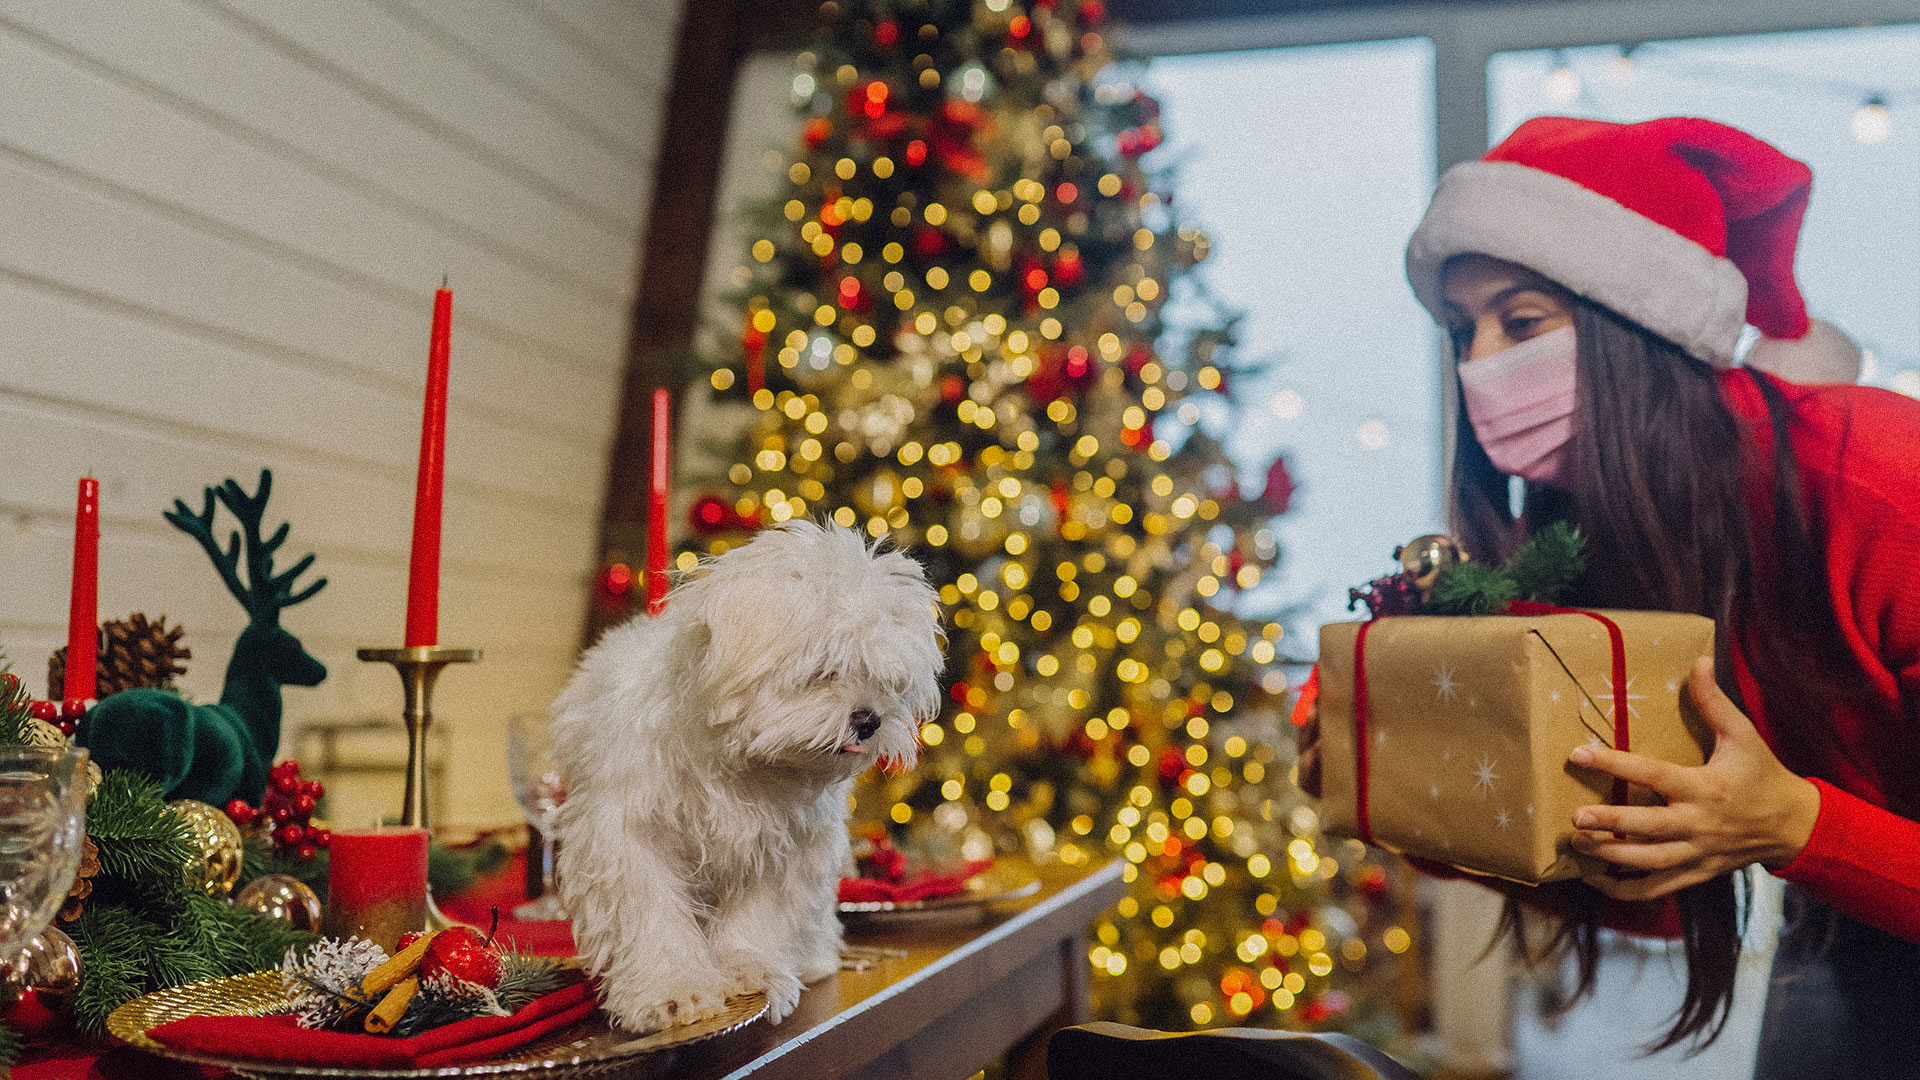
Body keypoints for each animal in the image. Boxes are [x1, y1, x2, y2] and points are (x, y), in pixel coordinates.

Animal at [552, 518, 940, 1022]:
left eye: (887, 683)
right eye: (826, 670)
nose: (869, 719)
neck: (742, 760)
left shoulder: (782, 845)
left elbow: (756, 918)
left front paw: (747, 971)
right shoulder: (629, 838)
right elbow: (654, 917)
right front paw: (672, 989)